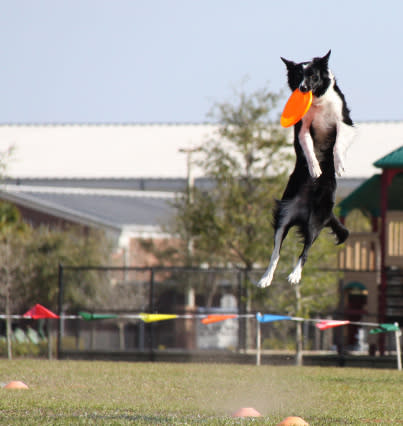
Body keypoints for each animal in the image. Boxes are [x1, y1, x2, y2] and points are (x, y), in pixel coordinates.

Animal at [258, 50, 356, 290]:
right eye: (297, 76)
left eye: (312, 75)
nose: (302, 89)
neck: (318, 103)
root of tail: (302, 214)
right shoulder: (302, 128)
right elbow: (309, 148)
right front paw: (314, 169)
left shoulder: (344, 122)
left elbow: (338, 143)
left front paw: (338, 164)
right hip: (284, 215)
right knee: (276, 252)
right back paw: (267, 278)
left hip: (316, 219)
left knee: (306, 250)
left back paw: (295, 275)